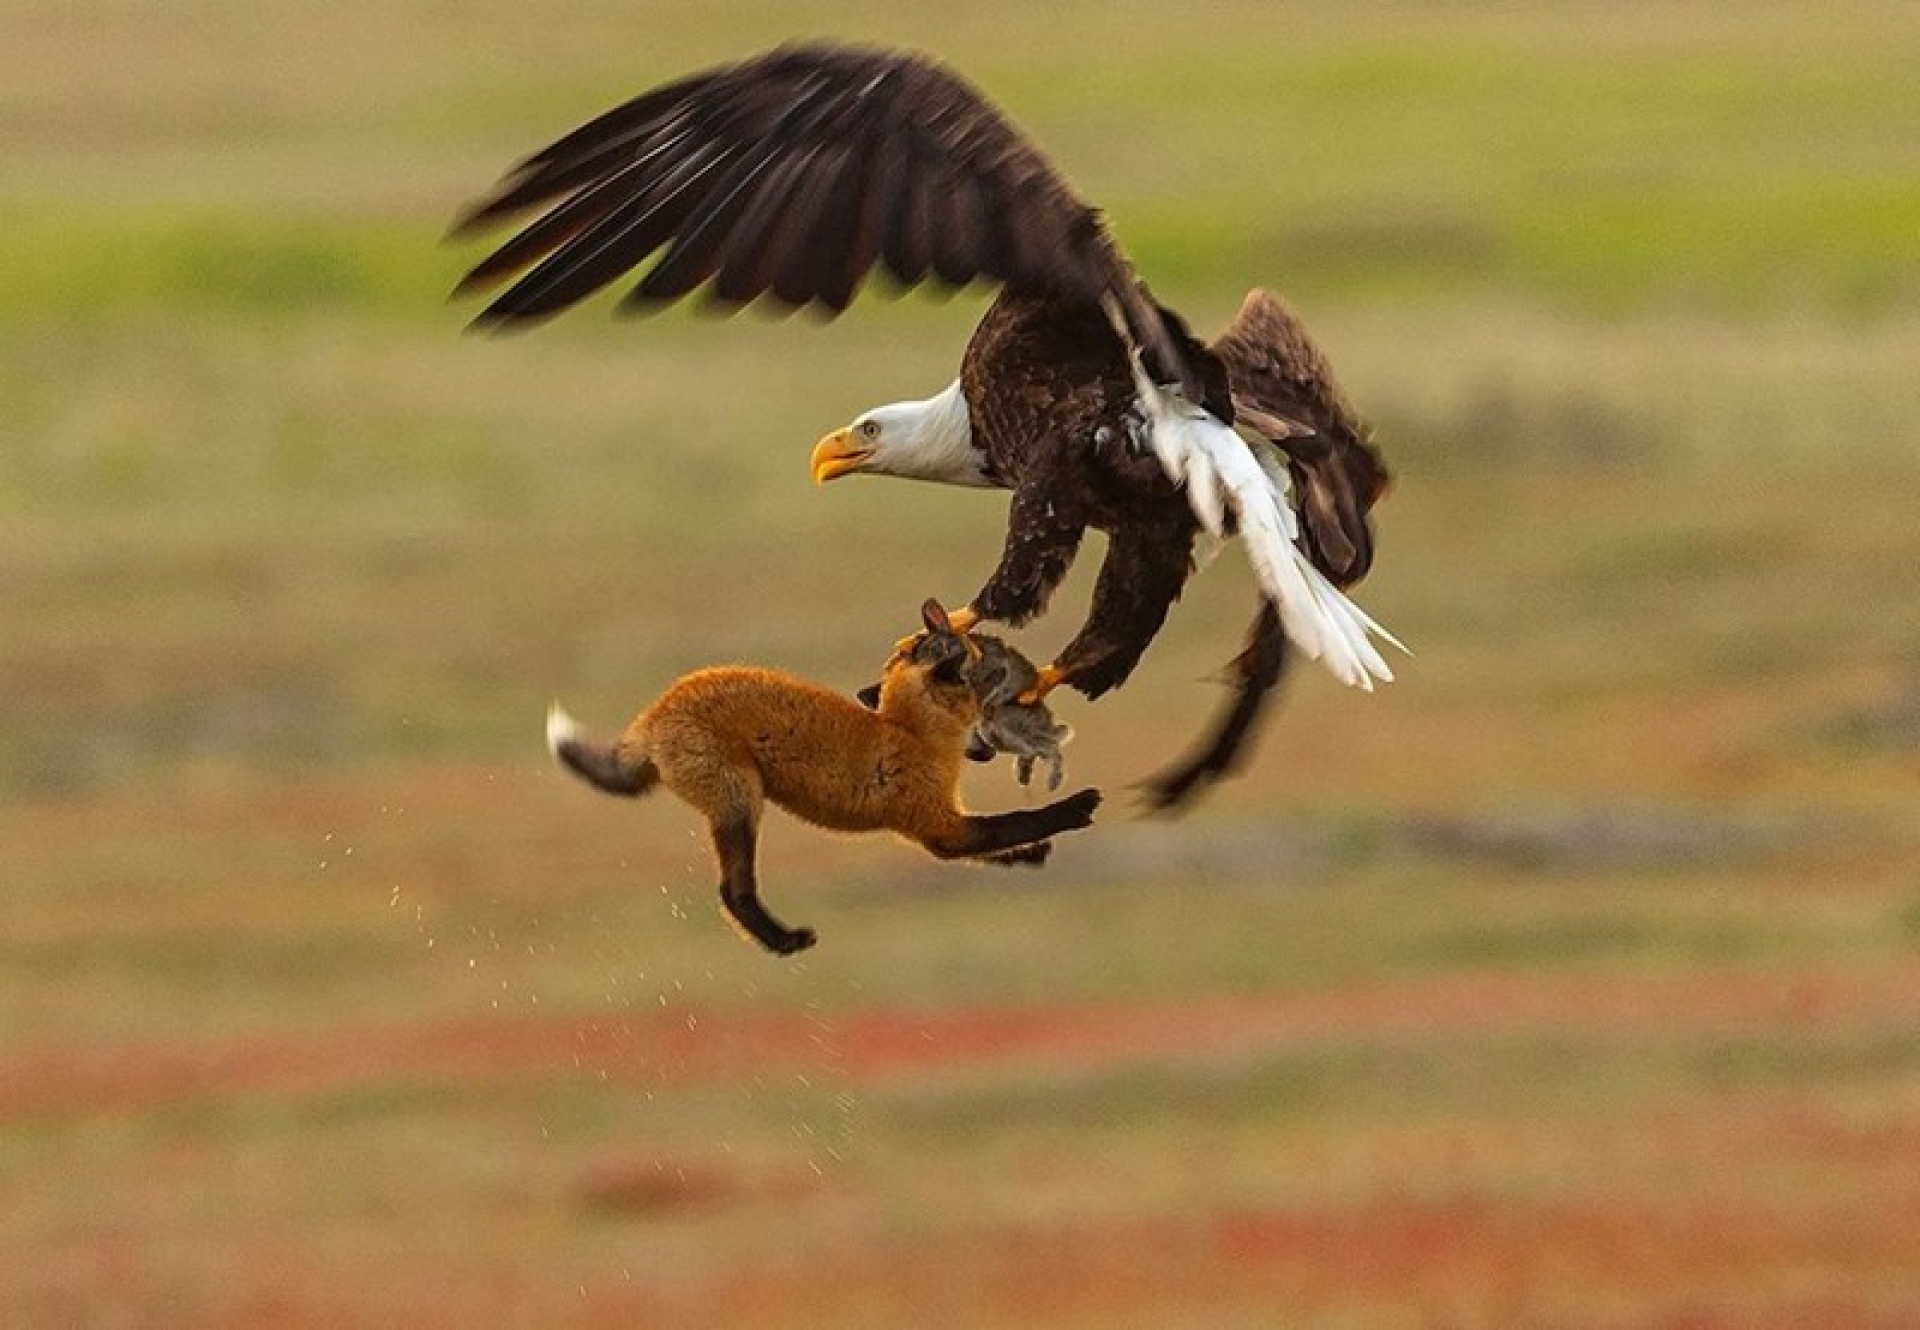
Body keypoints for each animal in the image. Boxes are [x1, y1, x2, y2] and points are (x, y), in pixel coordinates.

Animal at [545, 600, 1103, 955]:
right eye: (980, 672)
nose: (989, 742)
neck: (909, 732)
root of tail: (653, 713)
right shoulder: (937, 826)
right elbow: (1016, 820)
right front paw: (1076, 808)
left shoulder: (943, 826)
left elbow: (996, 845)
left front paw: (1029, 856)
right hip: (740, 803)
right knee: (733, 892)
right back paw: (783, 942)